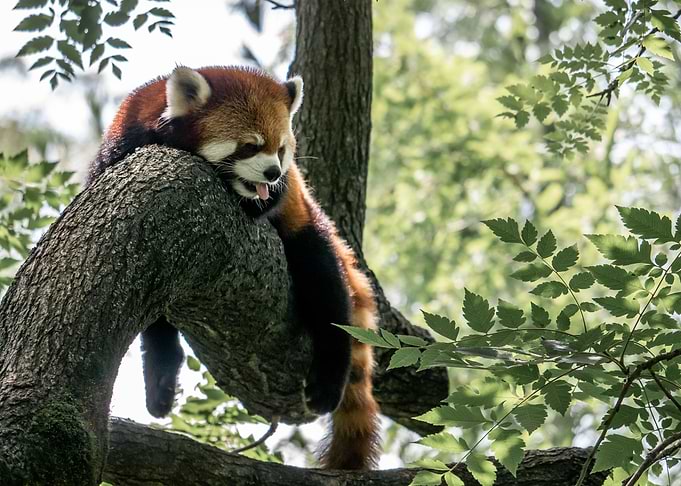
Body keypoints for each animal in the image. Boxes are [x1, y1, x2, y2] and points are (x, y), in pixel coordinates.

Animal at [88, 66, 380, 470]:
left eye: (281, 149)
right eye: (250, 146)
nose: (273, 172)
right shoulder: (120, 143)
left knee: (326, 288)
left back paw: (328, 380)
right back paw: (161, 379)